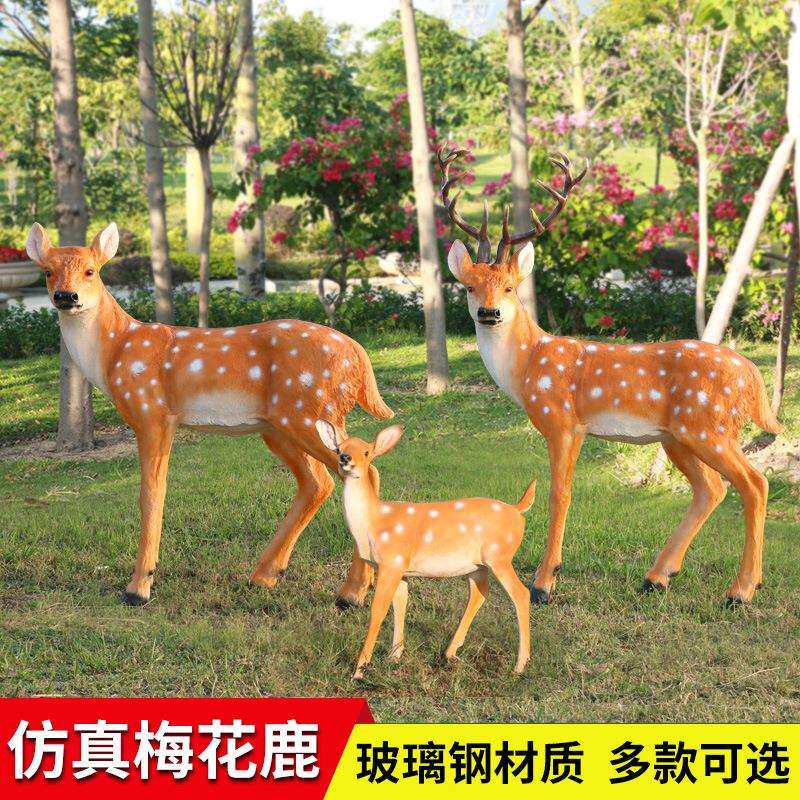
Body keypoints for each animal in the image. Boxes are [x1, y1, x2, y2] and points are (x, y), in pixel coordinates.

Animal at [25, 222, 394, 608]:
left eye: (91, 271)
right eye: (47, 271)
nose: (66, 296)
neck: (115, 351)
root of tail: (359, 356)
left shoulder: (152, 412)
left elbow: (151, 494)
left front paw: (139, 587)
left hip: (309, 412)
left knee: (361, 473)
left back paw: (350, 594)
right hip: (280, 427)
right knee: (319, 482)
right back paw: (265, 576)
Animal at [315, 420, 537, 678]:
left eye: (367, 452)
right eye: (338, 448)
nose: (345, 458)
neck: (373, 522)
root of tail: (518, 510)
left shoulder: (391, 561)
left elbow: (378, 609)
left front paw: (359, 670)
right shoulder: (401, 569)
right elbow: (400, 605)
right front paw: (394, 657)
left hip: (500, 556)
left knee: (521, 593)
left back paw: (520, 665)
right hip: (477, 565)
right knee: (479, 592)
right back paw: (450, 653)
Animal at [437, 147, 783, 608]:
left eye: (510, 287)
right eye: (470, 286)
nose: (488, 313)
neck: (528, 364)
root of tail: (753, 377)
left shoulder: (564, 422)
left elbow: (560, 493)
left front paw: (544, 583)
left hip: (709, 425)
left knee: (754, 483)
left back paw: (741, 590)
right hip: (678, 436)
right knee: (712, 489)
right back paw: (657, 577)